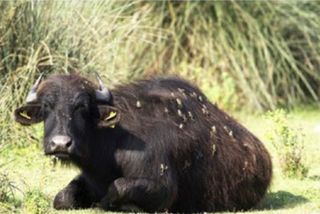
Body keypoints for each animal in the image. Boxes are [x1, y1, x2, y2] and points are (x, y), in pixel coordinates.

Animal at [13, 73, 272, 212]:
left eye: (82, 107)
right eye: (46, 107)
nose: (61, 144)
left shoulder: (163, 188)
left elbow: (117, 188)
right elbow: (62, 198)